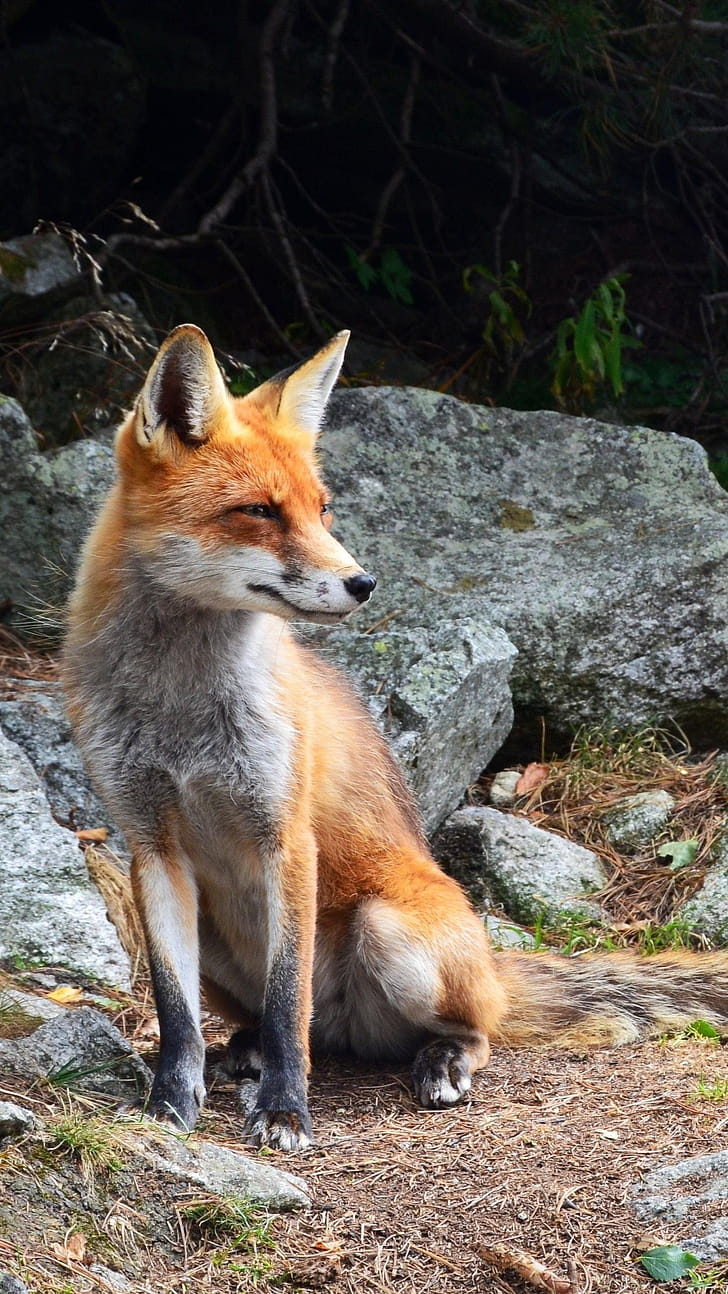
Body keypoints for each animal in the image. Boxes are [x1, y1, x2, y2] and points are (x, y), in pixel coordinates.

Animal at [62, 324, 728, 1151]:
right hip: (214, 932)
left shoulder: (286, 836)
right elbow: (176, 1015)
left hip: (392, 932)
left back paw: (439, 1062)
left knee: (458, 1028)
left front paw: (286, 1111)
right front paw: (168, 1109)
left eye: (322, 509)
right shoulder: (151, 846)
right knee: (283, 1024)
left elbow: (288, 1003)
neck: (179, 711)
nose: (363, 583)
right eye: (259, 511)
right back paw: (245, 1052)